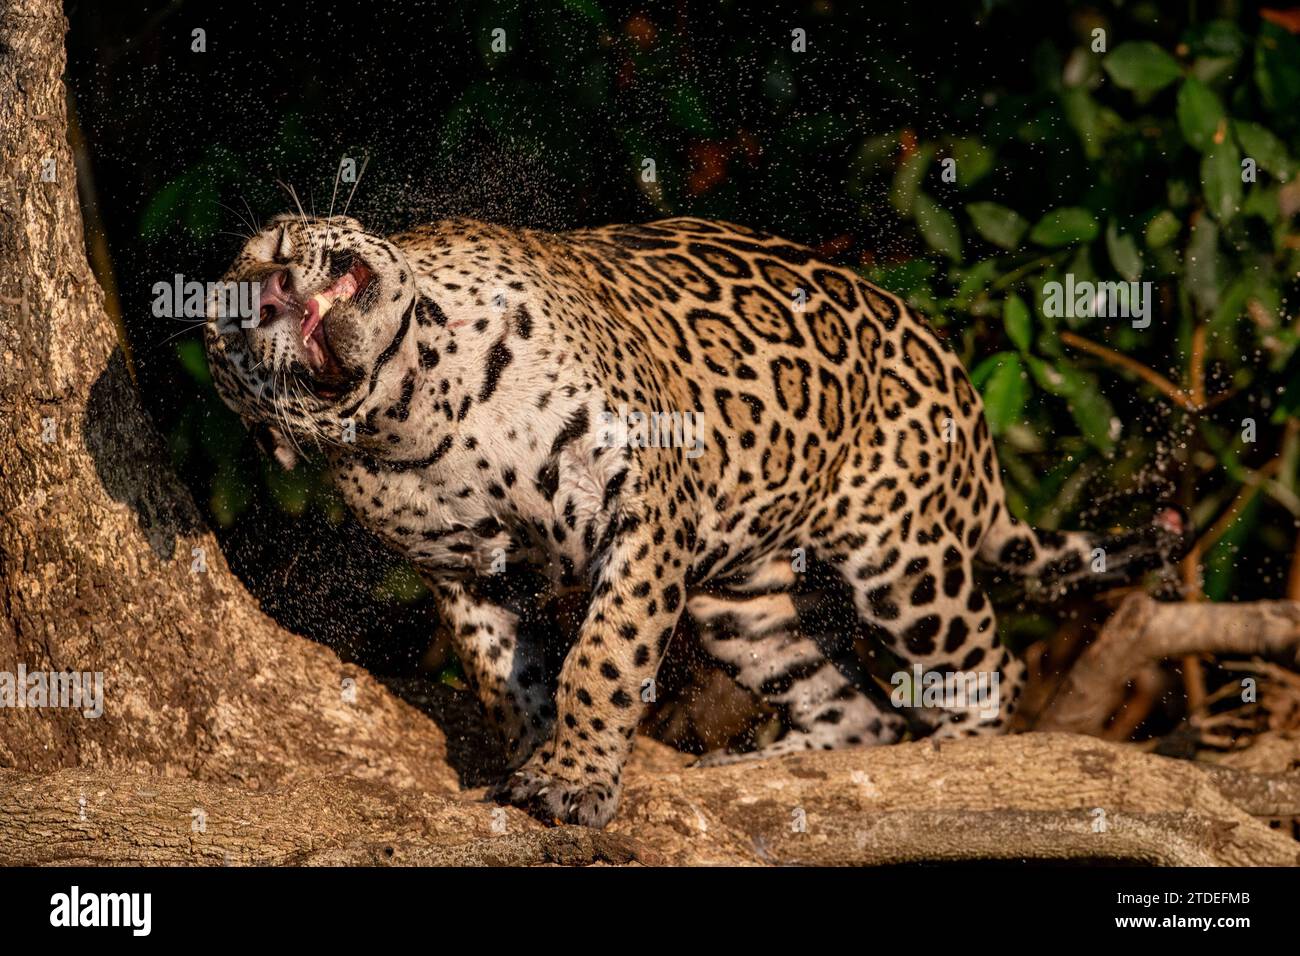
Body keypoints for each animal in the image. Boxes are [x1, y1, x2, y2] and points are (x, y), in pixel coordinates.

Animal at [205, 212, 1186, 827]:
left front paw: (572, 782)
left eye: (271, 244)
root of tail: (954, 371)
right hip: (743, 608)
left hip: (904, 560)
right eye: (228, 329)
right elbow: (506, 677)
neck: (421, 401)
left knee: (989, 670)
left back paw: (954, 770)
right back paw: (764, 769)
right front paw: (537, 755)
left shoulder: (642, 506)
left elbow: (603, 658)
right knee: (853, 710)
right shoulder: (466, 576)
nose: (267, 286)